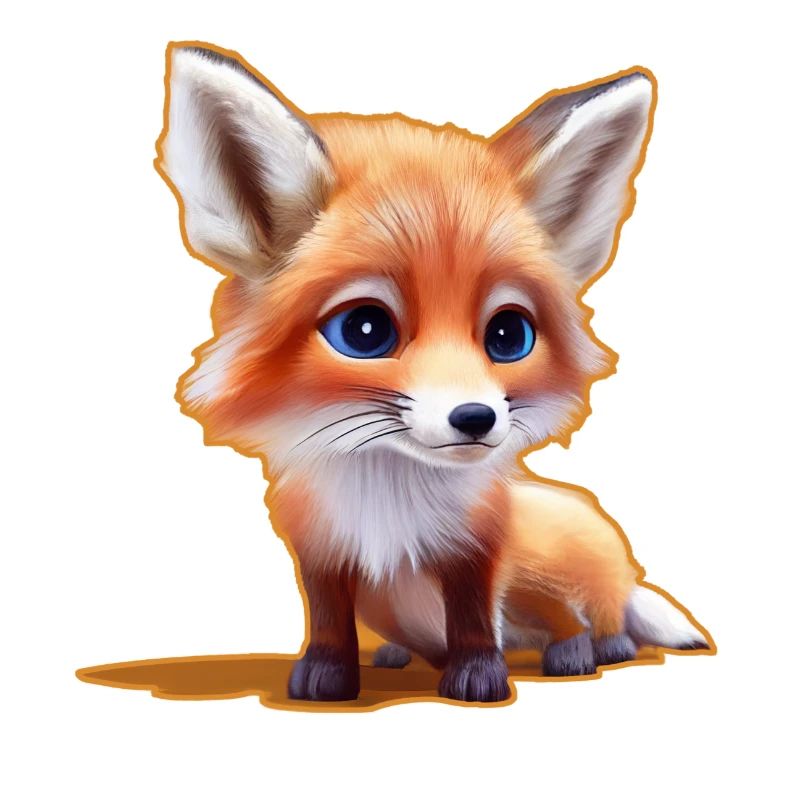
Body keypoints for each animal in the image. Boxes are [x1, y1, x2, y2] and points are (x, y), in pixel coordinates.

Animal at [156, 43, 713, 704]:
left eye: (508, 335)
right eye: (364, 330)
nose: (475, 418)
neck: (387, 500)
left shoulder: (479, 547)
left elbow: (473, 617)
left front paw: (477, 677)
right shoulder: (320, 553)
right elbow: (328, 618)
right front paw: (327, 673)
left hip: (546, 567)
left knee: (587, 613)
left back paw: (590, 649)